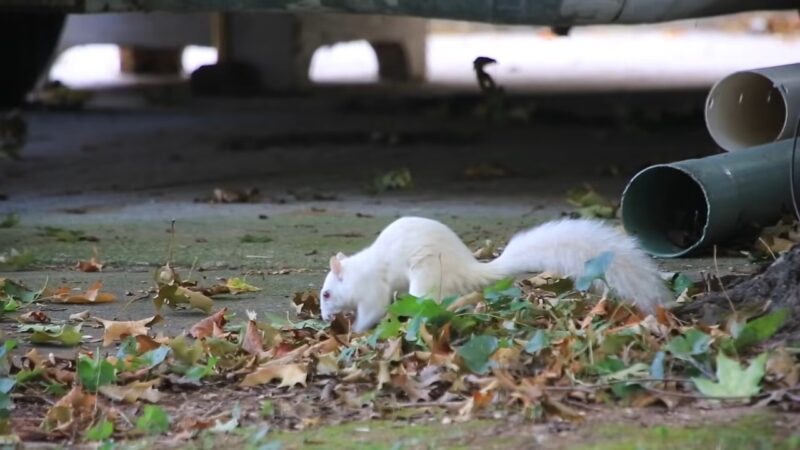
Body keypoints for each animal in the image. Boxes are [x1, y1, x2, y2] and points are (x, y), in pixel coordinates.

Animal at [318, 216, 668, 332]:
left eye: (326, 294)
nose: (323, 317)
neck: (356, 272)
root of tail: (466, 267)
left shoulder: (371, 290)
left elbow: (372, 310)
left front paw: (356, 330)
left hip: (426, 275)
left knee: (434, 303)